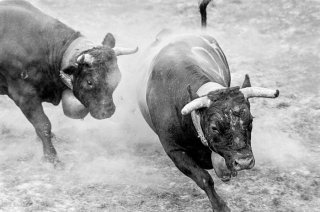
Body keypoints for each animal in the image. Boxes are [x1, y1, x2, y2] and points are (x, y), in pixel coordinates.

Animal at [138, 0, 278, 211]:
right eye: (214, 127)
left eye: (250, 121)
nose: (244, 162)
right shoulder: (174, 150)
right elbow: (204, 178)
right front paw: (220, 206)